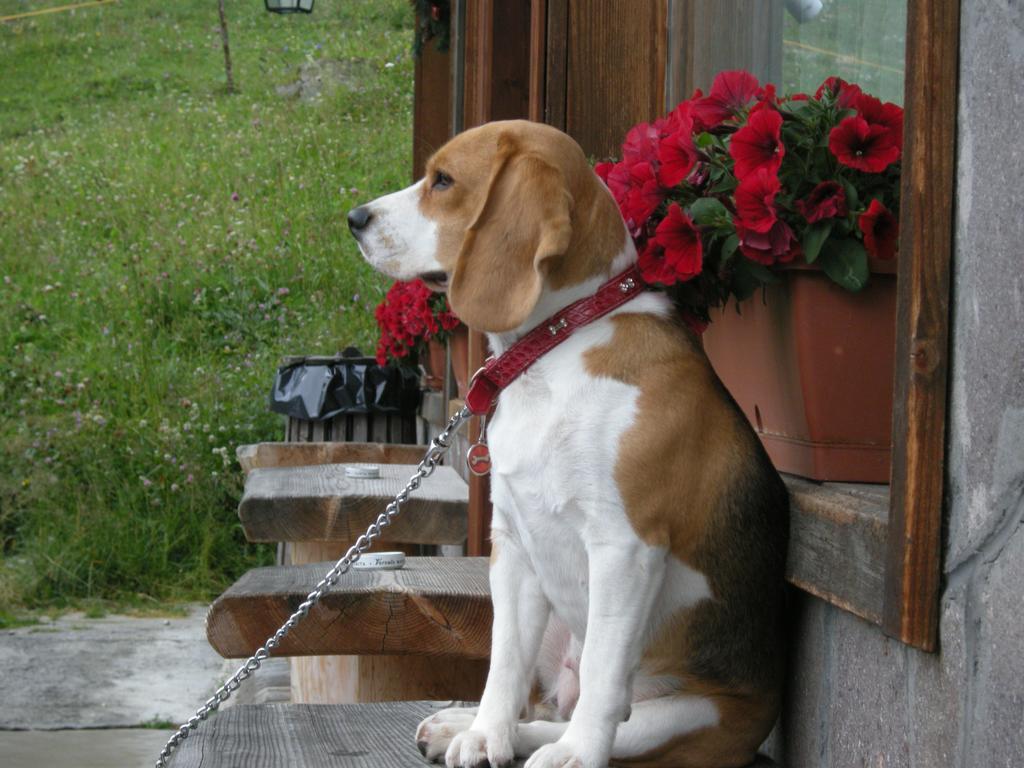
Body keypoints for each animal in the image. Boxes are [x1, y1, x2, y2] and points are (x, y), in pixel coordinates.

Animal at [348, 120, 786, 768]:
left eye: (443, 181)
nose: (355, 218)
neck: (556, 347)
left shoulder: (623, 547)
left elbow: (604, 671)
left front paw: (575, 754)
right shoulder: (513, 545)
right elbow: (504, 663)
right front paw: (485, 734)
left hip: (691, 716)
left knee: (588, 713)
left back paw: (561, 749)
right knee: (542, 706)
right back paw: (465, 724)